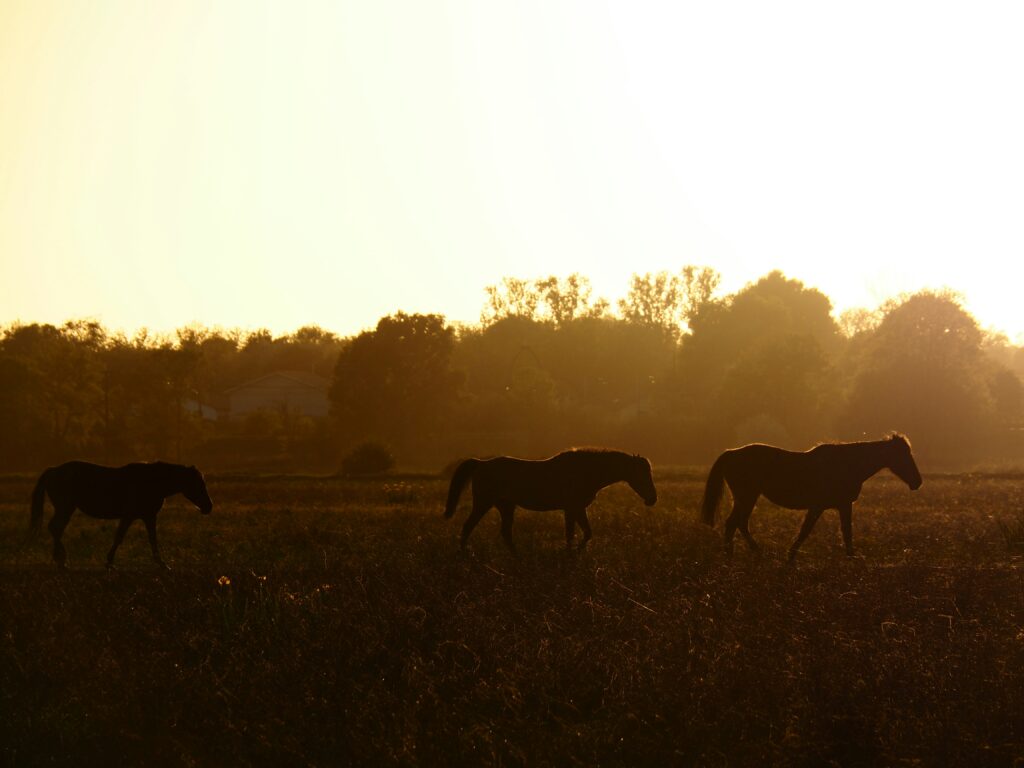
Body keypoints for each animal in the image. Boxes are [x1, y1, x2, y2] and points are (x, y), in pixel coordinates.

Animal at [29, 460, 214, 569]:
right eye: (198, 484)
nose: (208, 507)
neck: (152, 481)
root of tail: (53, 470)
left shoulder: (148, 516)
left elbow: (151, 538)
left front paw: (161, 563)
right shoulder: (130, 515)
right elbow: (120, 537)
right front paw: (110, 562)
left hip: (66, 508)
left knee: (56, 528)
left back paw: (59, 558)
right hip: (65, 508)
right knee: (55, 528)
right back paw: (61, 559)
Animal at [444, 448, 657, 554]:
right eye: (642, 474)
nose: (652, 499)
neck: (585, 471)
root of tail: (481, 463)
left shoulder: (575, 509)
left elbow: (582, 533)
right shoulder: (573, 508)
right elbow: (576, 534)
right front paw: (572, 553)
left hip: (506, 506)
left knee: (505, 532)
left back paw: (517, 556)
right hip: (483, 503)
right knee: (468, 526)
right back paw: (465, 553)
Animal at [699, 433, 922, 562]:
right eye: (903, 455)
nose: (917, 482)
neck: (848, 464)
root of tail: (731, 453)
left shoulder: (842, 505)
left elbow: (846, 532)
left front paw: (851, 557)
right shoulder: (821, 506)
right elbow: (806, 531)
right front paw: (790, 557)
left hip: (745, 498)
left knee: (737, 524)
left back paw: (742, 554)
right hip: (747, 497)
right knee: (734, 523)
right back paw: (743, 554)